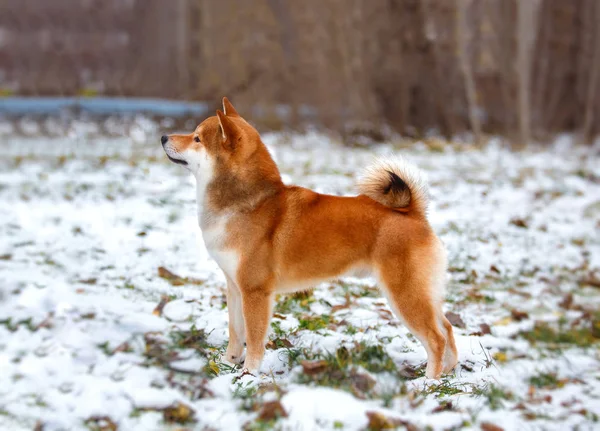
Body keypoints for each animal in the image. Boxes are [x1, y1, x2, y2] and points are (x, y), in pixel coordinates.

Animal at [162, 99, 458, 380]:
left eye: (197, 138)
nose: (164, 137)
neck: (247, 204)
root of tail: (414, 213)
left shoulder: (255, 291)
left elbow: (254, 340)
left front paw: (249, 373)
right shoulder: (235, 287)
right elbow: (236, 333)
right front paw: (227, 364)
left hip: (404, 294)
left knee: (436, 338)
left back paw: (427, 382)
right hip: (422, 292)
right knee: (448, 329)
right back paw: (448, 373)